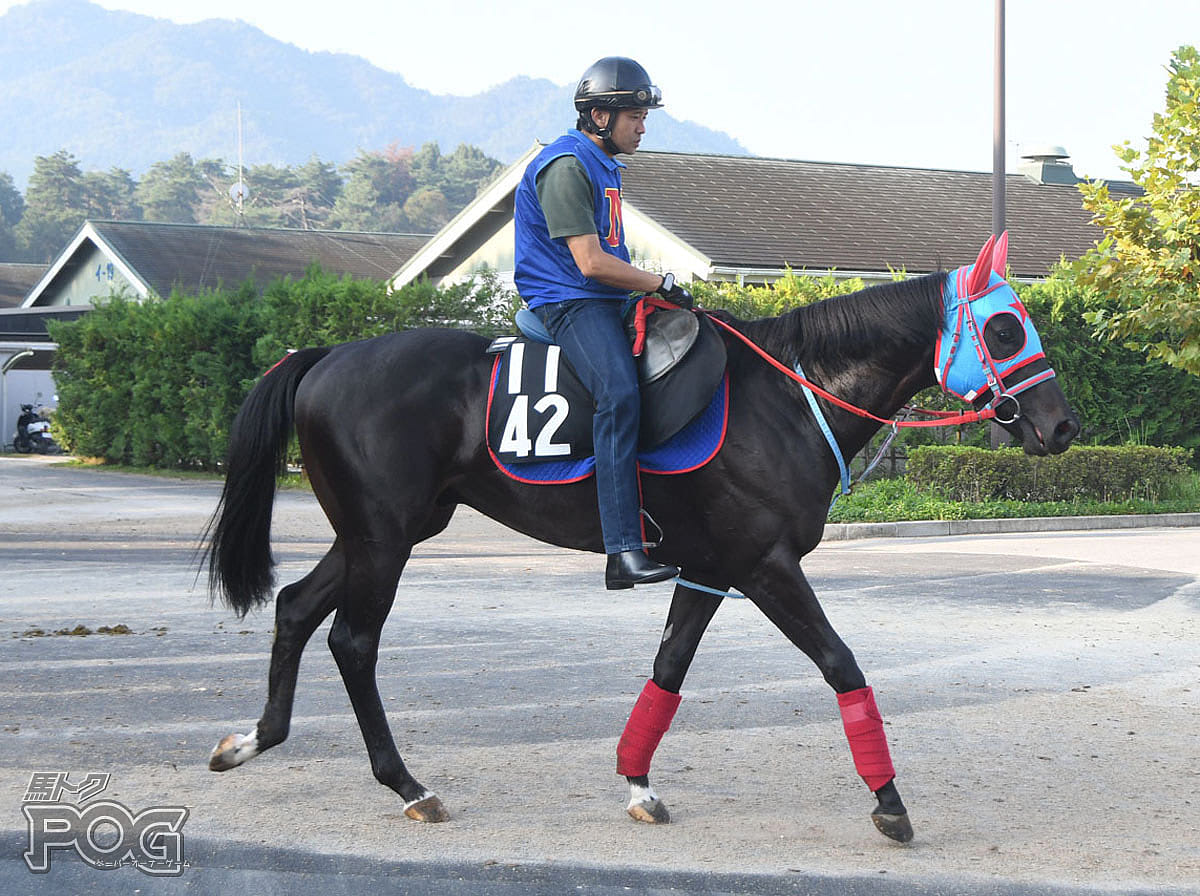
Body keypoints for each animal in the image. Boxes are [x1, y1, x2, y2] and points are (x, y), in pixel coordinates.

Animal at [204, 235, 1080, 844]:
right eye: (1007, 329)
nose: (1062, 427)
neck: (788, 396)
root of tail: (326, 355)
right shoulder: (765, 567)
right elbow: (842, 666)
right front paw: (890, 804)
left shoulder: (709, 570)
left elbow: (667, 669)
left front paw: (636, 782)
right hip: (384, 540)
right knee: (352, 642)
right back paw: (407, 784)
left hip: (376, 534)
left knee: (295, 608)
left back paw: (254, 740)